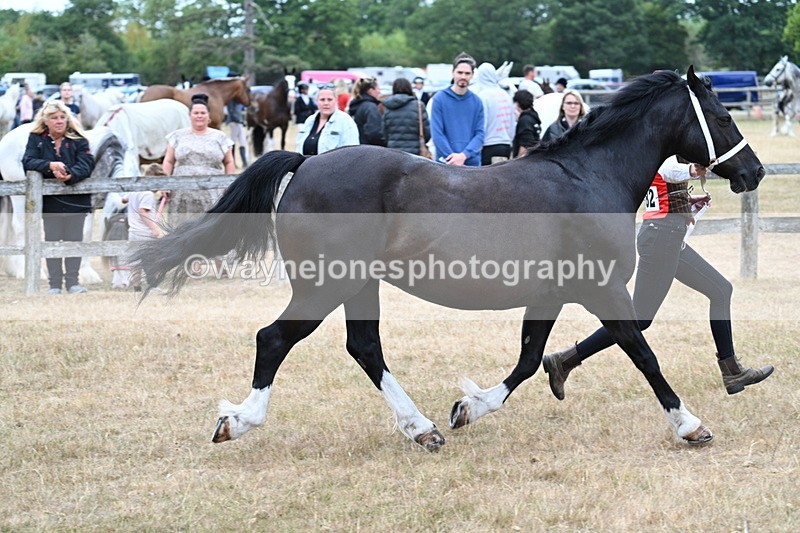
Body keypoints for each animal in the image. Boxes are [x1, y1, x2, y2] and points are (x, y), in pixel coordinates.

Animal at [0, 125, 135, 282]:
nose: (125, 280)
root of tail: (7, 138)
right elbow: (84, 234)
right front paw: (85, 273)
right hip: (20, 197)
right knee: (19, 226)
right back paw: (24, 270)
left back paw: (12, 269)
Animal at [133, 67, 764, 452]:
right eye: (724, 117)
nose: (753, 171)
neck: (587, 176)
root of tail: (305, 162)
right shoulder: (602, 289)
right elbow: (643, 353)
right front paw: (691, 425)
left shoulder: (551, 294)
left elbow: (529, 360)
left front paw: (469, 407)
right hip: (324, 285)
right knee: (275, 339)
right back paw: (237, 421)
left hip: (358, 286)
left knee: (364, 348)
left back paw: (423, 428)